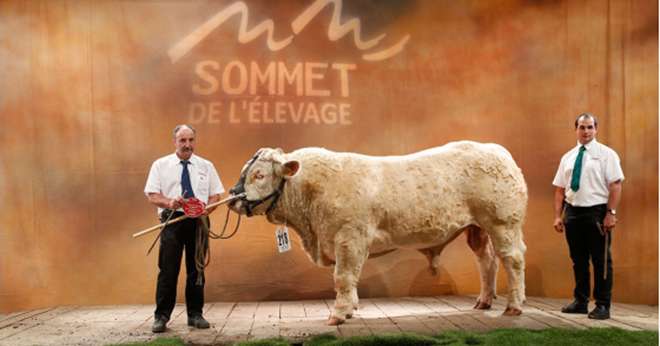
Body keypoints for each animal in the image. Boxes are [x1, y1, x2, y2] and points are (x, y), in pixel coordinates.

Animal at [229, 141, 528, 324]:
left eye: (258, 175)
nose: (232, 198)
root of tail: (497, 150)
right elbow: (347, 279)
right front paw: (351, 308)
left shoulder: (349, 237)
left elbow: (343, 277)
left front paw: (338, 314)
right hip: (477, 228)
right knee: (487, 261)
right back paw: (484, 301)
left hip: (503, 223)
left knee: (512, 260)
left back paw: (514, 306)